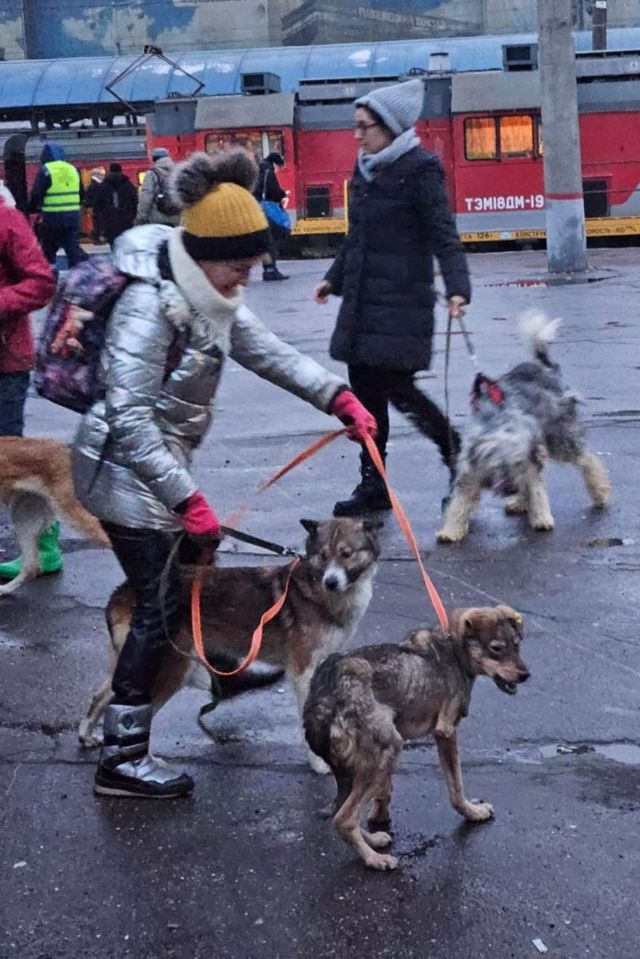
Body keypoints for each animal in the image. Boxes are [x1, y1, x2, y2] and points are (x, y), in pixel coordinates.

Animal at [79, 516, 380, 772]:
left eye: (346, 554)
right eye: (324, 555)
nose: (331, 582)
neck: (317, 590)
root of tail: (126, 591)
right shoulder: (302, 670)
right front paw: (319, 763)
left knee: (102, 696)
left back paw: (86, 735)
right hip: (172, 670)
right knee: (137, 714)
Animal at [304, 608, 528, 872]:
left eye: (517, 645)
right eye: (496, 648)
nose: (526, 675)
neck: (455, 647)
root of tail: (322, 698)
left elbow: (385, 792)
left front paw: (380, 816)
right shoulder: (445, 732)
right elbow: (456, 786)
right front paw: (472, 812)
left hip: (353, 769)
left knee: (341, 811)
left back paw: (373, 840)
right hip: (388, 751)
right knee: (344, 819)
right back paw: (374, 859)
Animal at [438, 314, 612, 544]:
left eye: (516, 463)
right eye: (495, 465)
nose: (511, 487)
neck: (498, 426)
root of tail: (547, 369)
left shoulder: (528, 460)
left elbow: (536, 489)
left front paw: (542, 518)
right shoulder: (472, 471)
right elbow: (459, 502)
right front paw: (451, 530)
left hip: (560, 435)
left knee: (587, 460)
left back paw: (600, 492)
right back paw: (520, 502)